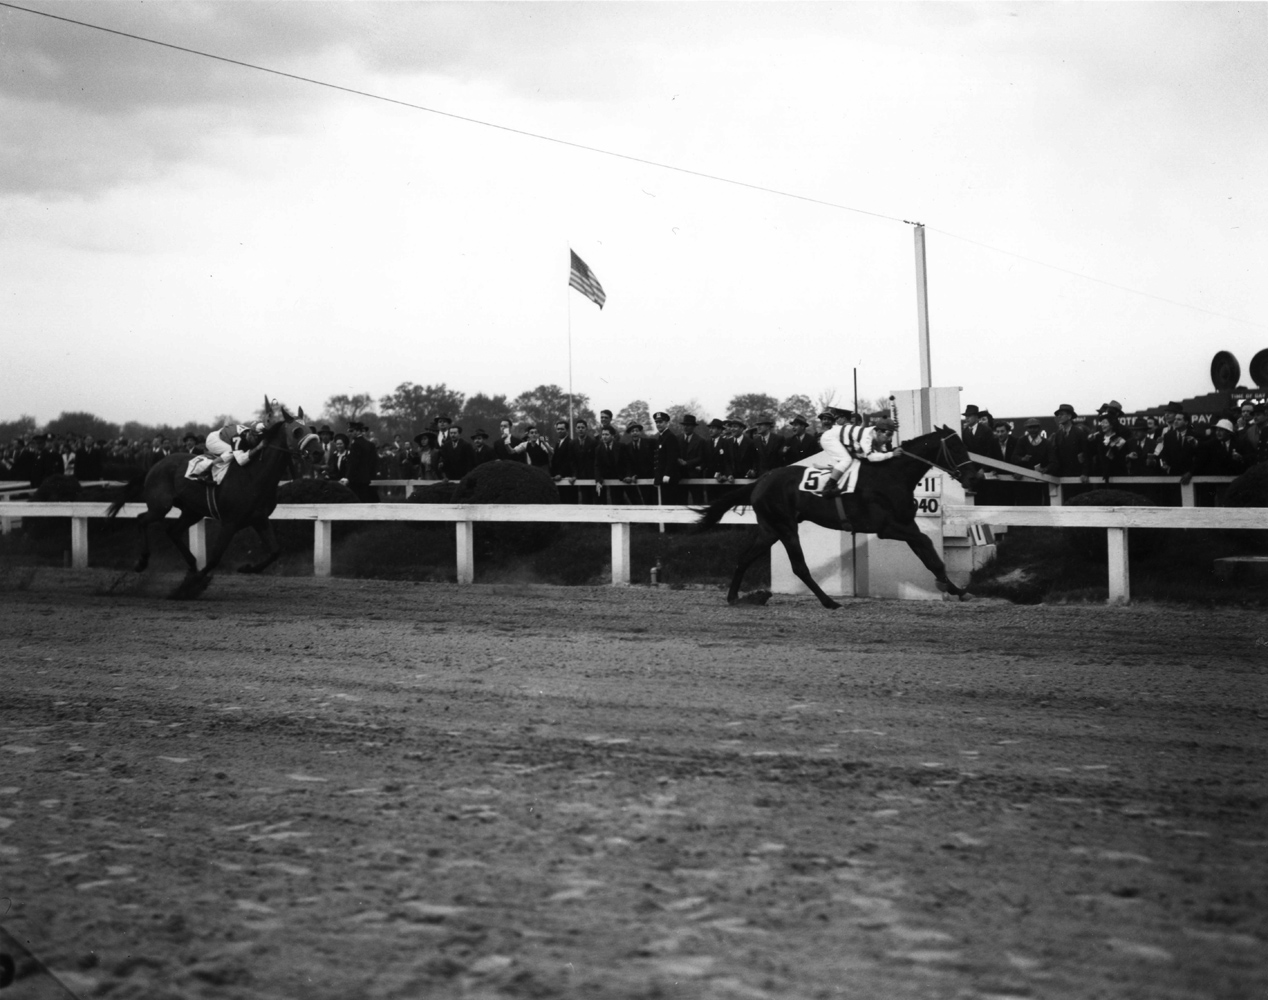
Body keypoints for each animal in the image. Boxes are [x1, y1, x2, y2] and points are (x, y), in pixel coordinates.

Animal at [106, 397, 322, 600]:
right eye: (297, 431)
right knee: (142, 519)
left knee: (172, 531)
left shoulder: (259, 519)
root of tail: (155, 465)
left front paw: (246, 568)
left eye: (311, 428)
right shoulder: (230, 523)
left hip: (191, 511)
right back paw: (142, 562)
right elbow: (214, 559)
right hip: (161, 505)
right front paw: (188, 588)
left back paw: (191, 565)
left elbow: (275, 552)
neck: (254, 475)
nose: (318, 452)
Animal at [694, 423, 978, 608]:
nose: (973, 478)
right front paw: (949, 586)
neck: (892, 476)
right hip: (785, 527)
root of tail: (762, 479)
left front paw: (955, 589)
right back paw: (829, 602)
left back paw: (733, 597)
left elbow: (929, 555)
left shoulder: (907, 525)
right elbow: (927, 545)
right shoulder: (887, 527)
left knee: (744, 558)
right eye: (956, 447)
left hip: (769, 530)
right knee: (799, 566)